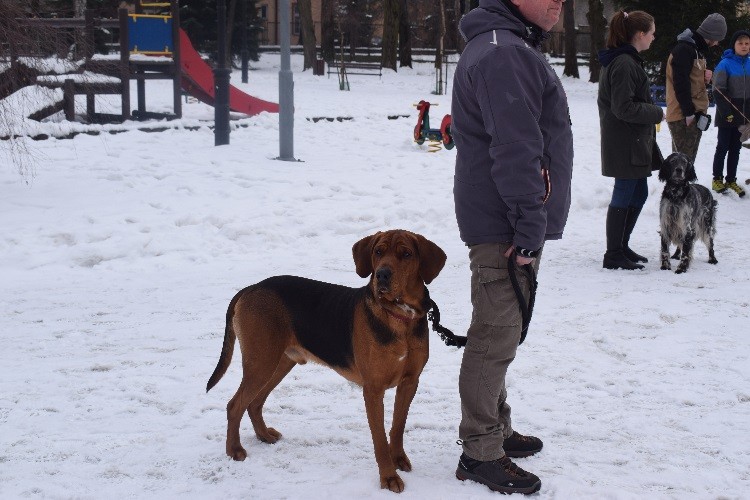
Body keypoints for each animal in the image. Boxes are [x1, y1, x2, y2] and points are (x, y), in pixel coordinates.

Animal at [206, 229, 446, 492]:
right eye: (378, 251)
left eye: (406, 254)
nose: (382, 274)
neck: (400, 317)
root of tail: (250, 288)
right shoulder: (374, 389)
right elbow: (380, 439)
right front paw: (388, 476)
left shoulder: (410, 382)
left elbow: (398, 426)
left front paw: (399, 459)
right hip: (261, 363)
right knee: (235, 405)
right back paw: (234, 450)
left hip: (278, 363)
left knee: (254, 403)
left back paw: (264, 435)